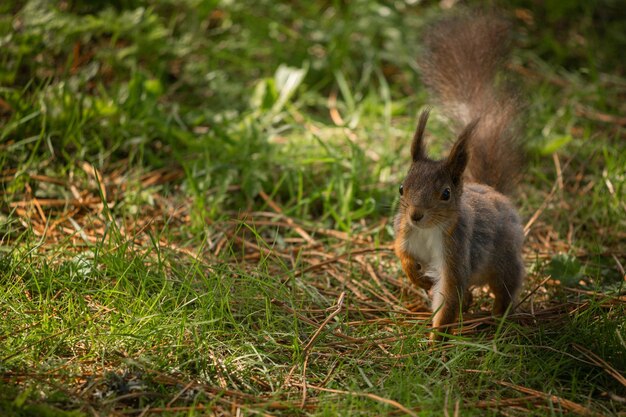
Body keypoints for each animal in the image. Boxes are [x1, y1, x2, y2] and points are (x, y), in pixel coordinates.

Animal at [392, 11, 524, 340]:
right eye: (402, 188)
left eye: (446, 194)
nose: (416, 215)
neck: (428, 231)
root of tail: (494, 191)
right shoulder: (406, 234)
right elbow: (401, 253)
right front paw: (416, 277)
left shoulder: (456, 252)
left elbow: (449, 295)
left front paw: (435, 341)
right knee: (469, 294)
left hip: (505, 259)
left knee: (504, 287)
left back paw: (499, 318)